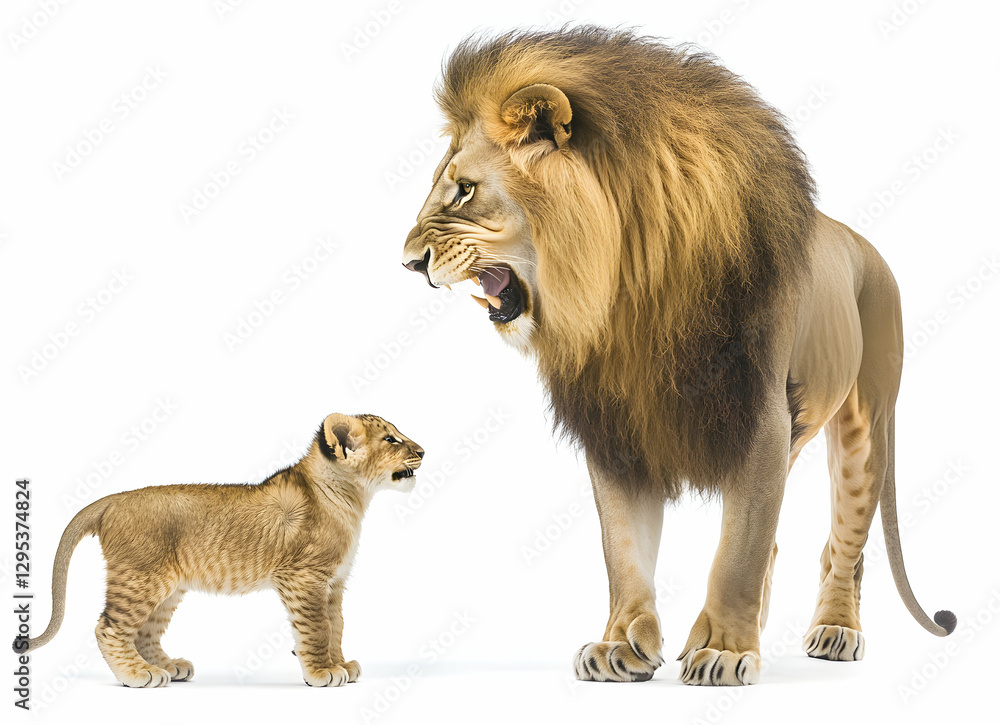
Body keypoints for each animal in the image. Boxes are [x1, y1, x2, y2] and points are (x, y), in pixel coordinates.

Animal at [14, 413, 424, 687]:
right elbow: (316, 626)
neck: (353, 498)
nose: (422, 450)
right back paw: (137, 674)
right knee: (109, 627)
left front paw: (341, 665)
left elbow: (336, 624)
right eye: (391, 440)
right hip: (140, 579)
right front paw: (322, 672)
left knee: (144, 633)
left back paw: (167, 667)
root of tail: (112, 499)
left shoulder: (334, 582)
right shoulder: (302, 577)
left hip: (167, 587)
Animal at [401, 27, 955, 685]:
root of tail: (866, 244)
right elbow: (624, 549)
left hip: (865, 427)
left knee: (844, 543)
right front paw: (620, 643)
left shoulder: (760, 416)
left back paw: (835, 630)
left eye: (464, 190)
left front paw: (725, 649)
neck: (626, 290)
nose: (408, 263)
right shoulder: (617, 426)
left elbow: (737, 551)